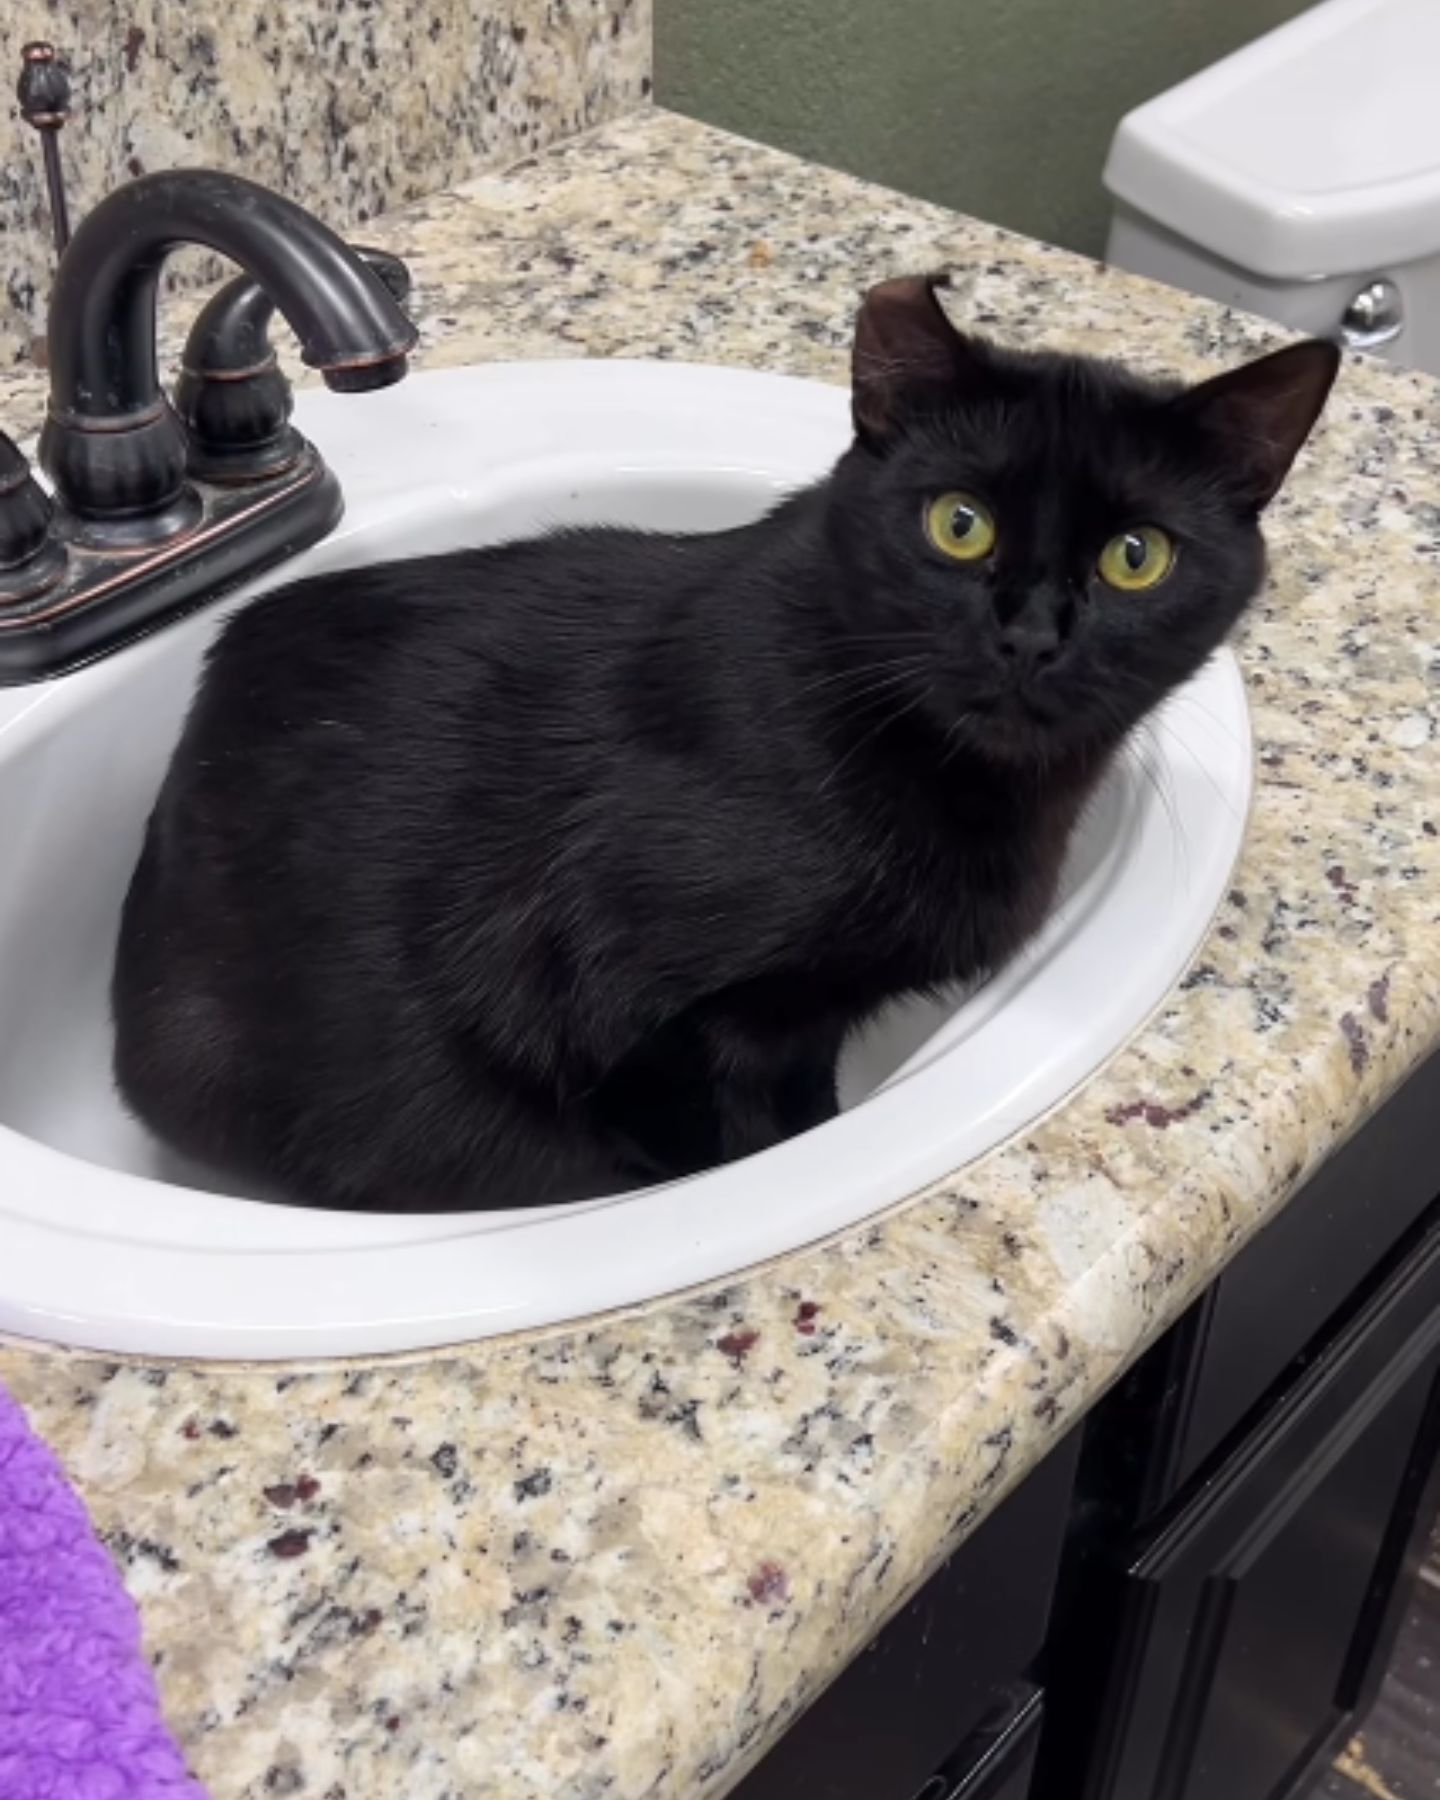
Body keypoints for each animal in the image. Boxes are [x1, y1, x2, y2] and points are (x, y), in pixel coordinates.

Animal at [112, 277, 1339, 1209]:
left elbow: (801, 1103)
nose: (1032, 636)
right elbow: (714, 1134)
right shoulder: (626, 1009)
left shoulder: (804, 1020)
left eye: (1139, 557)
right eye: (959, 524)